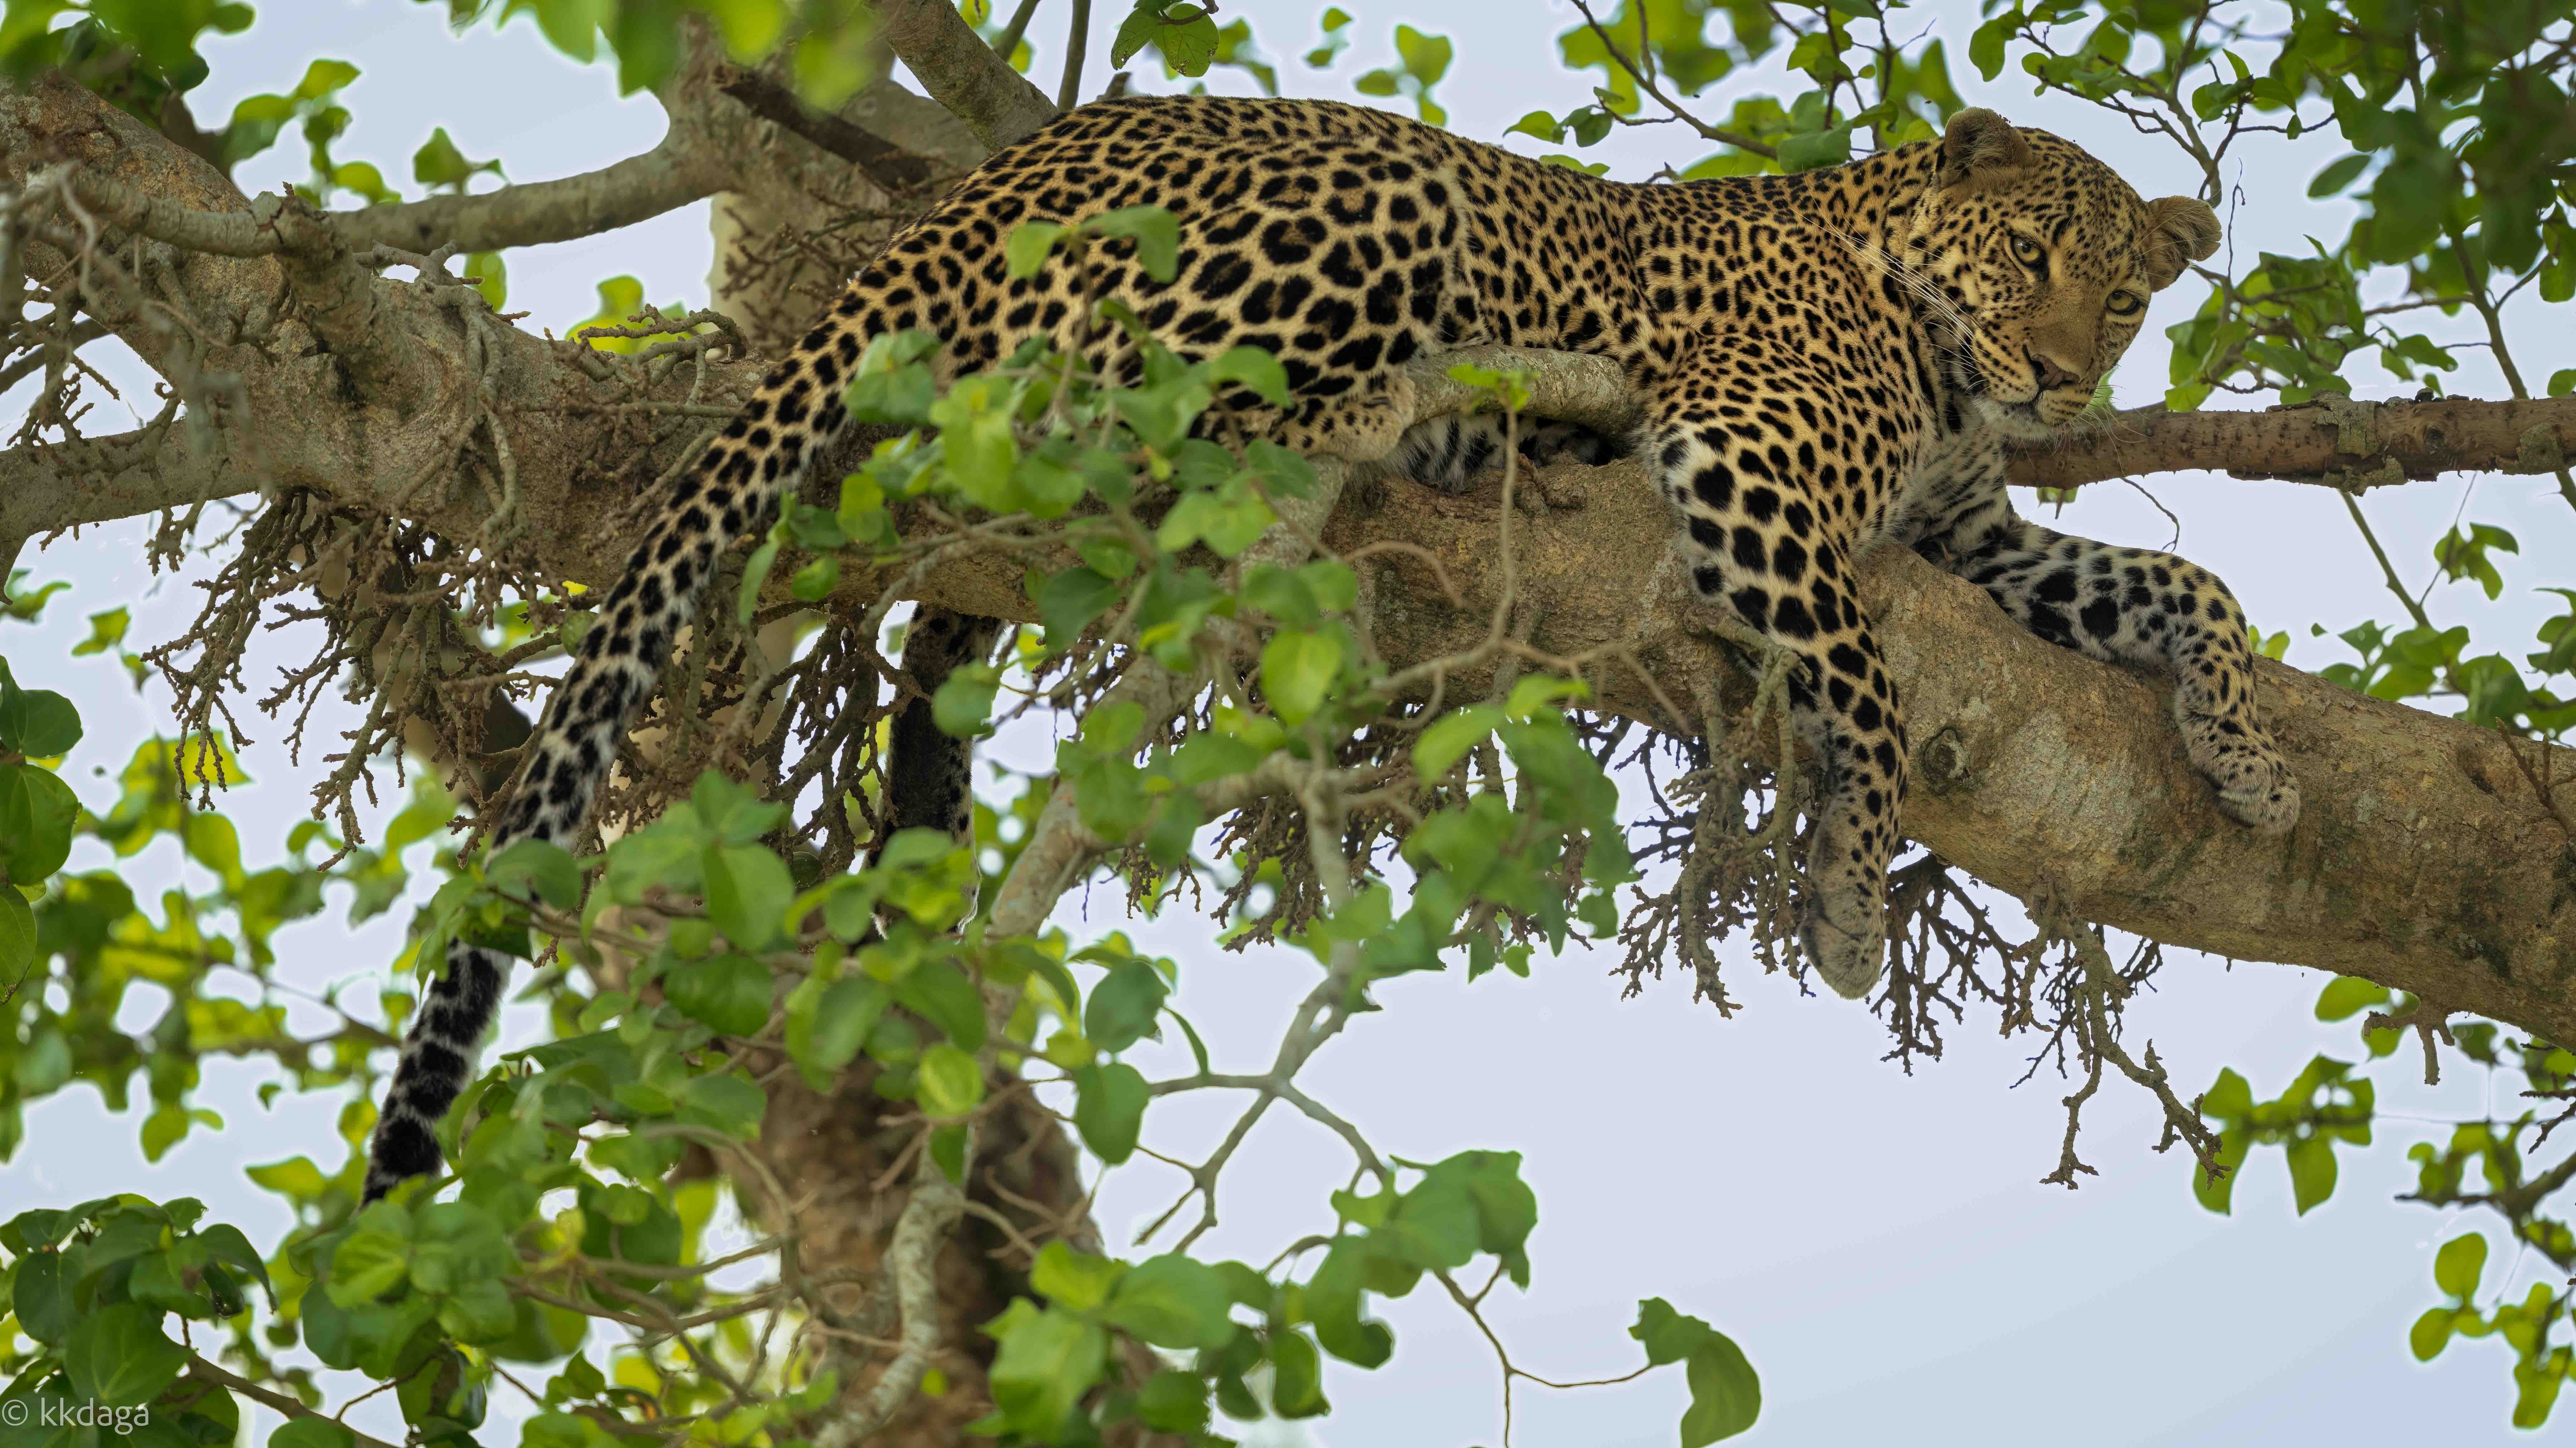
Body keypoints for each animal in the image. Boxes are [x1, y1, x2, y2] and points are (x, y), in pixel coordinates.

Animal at [358, 93, 2298, 1195]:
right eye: (2028, 252)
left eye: (2124, 295)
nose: (2061, 375)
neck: (1932, 355)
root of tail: (964, 193)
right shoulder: (1749, 465)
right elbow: (1869, 683)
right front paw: (1840, 892)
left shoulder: (1968, 533)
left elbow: (2181, 586)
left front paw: (2254, 758)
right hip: (1367, 217)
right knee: (1122, 399)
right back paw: (1431, 430)